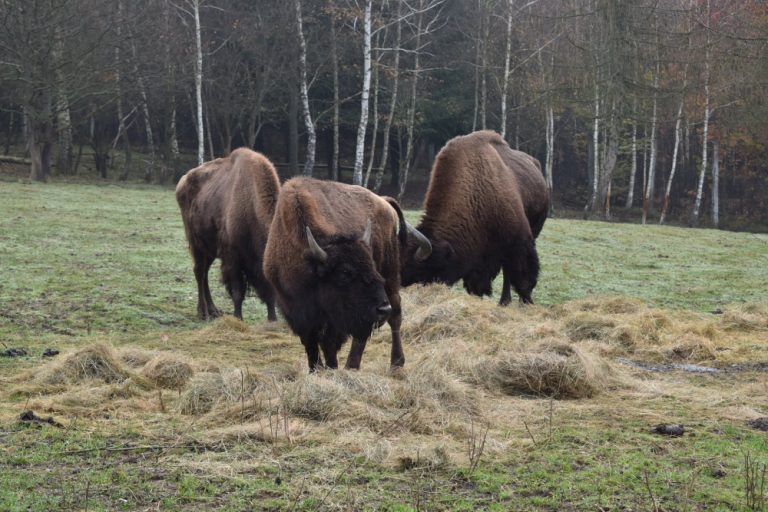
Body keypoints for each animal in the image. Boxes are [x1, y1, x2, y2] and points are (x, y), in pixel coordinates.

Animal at [176, 148, 280, 322]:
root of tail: (182, 181)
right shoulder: (233, 258)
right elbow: (237, 292)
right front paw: (238, 318)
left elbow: (269, 293)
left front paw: (272, 319)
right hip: (196, 243)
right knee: (199, 272)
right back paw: (204, 312)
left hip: (210, 249)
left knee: (204, 273)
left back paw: (214, 310)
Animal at [264, 178, 432, 370]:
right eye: (344, 273)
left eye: (371, 266)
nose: (383, 309)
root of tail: (383, 202)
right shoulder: (295, 311)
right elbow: (311, 345)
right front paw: (316, 370)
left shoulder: (336, 320)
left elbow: (329, 345)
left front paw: (332, 368)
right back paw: (353, 365)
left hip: (390, 277)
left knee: (395, 315)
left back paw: (395, 363)